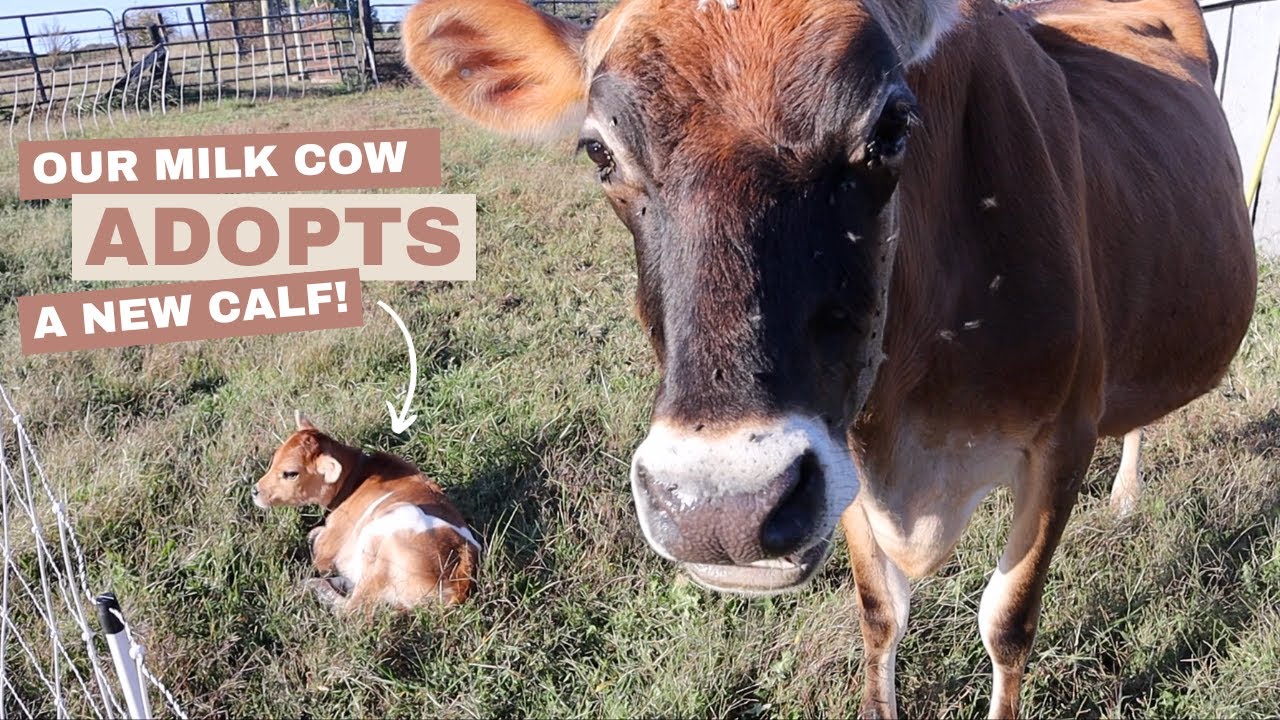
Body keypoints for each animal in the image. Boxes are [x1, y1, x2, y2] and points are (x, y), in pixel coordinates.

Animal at [400, 0, 1258, 714]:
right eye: (598, 152)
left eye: (891, 129)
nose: (719, 510)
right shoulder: (839, 440)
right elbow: (881, 613)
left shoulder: (1062, 438)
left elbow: (1007, 620)